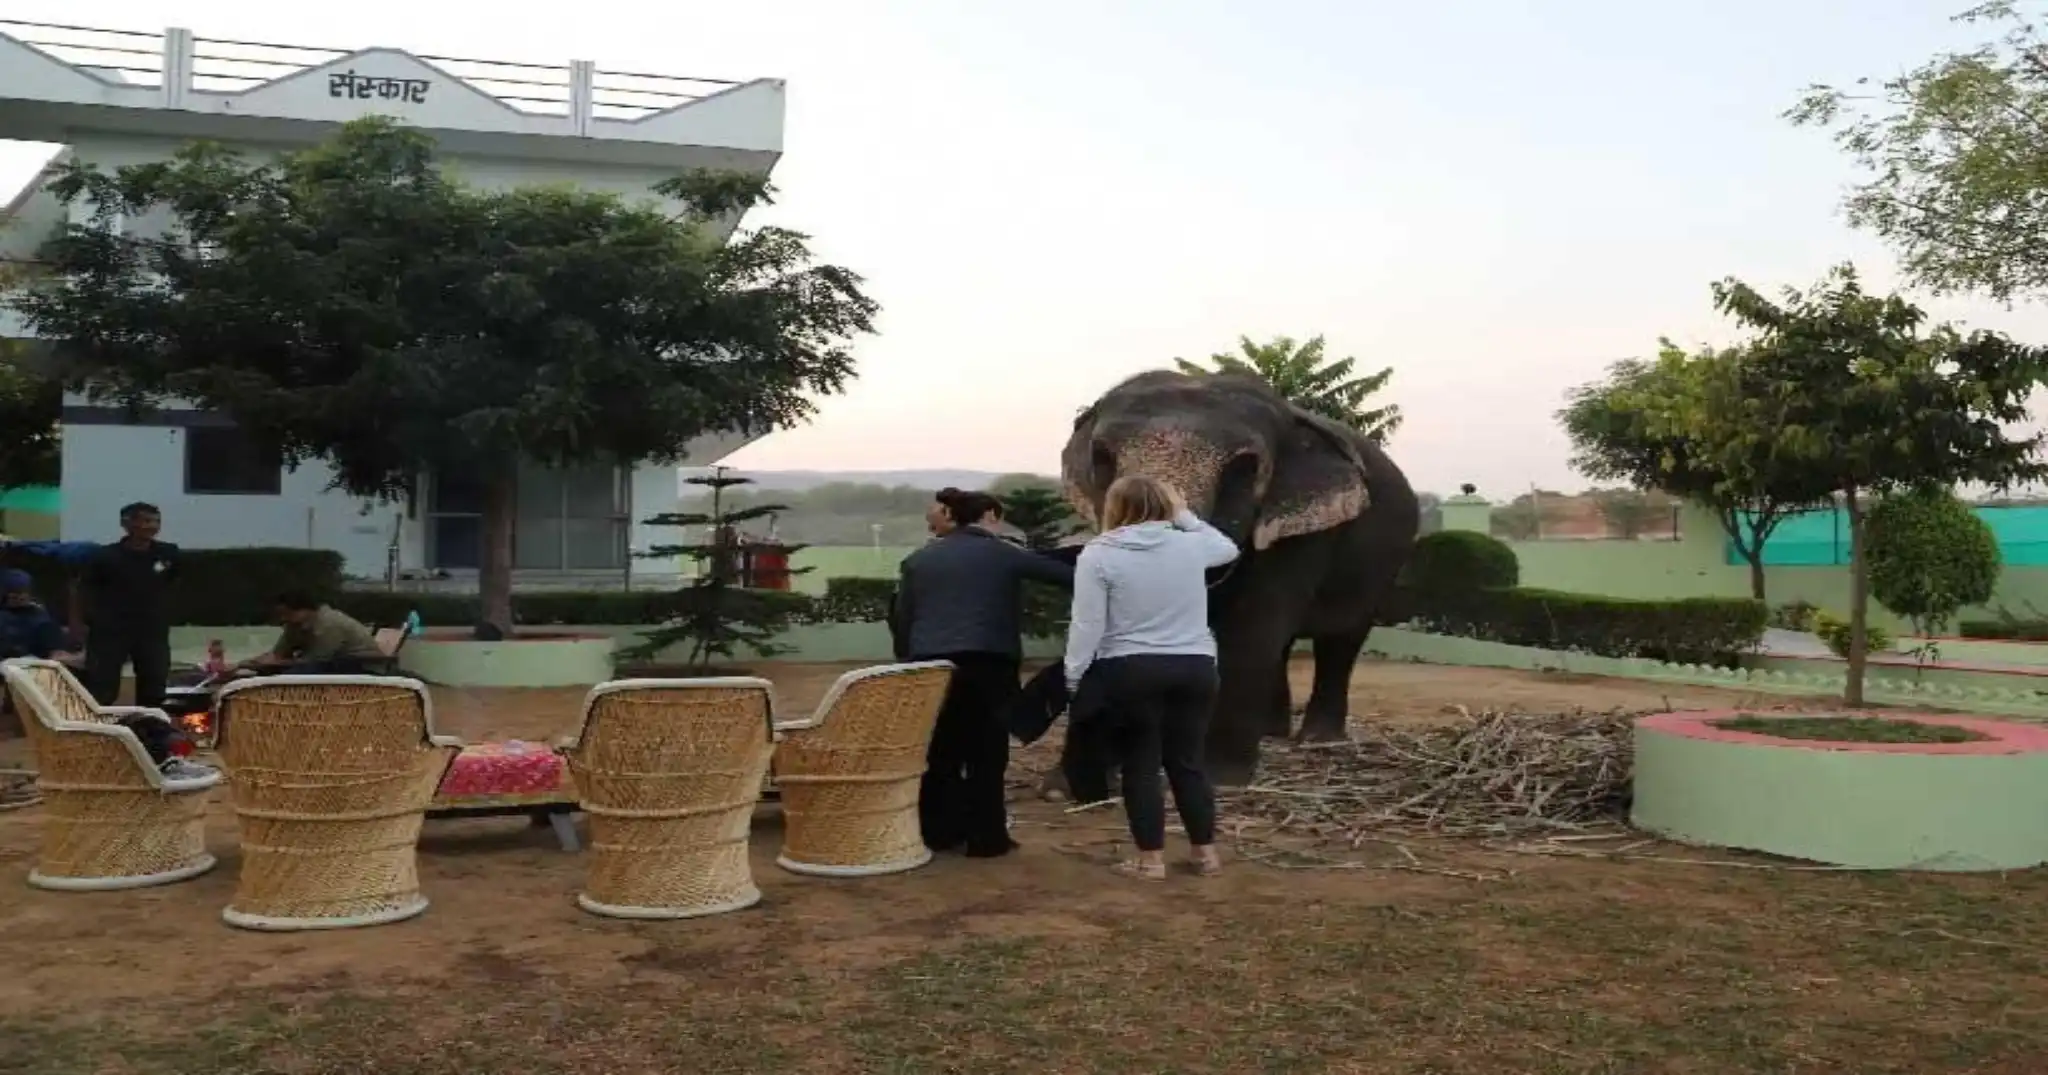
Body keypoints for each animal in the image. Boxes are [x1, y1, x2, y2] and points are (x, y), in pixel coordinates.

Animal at [1058, 369, 1420, 788]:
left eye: (1245, 467)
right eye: (1101, 456)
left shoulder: (1303, 530)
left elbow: (1252, 627)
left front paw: (1221, 778)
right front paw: (1067, 787)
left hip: (1382, 563)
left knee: (1340, 640)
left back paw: (1318, 742)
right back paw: (1272, 733)